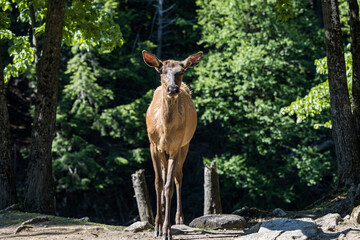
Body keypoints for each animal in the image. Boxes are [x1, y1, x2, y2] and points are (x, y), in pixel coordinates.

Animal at [141, 49, 202, 239]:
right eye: (162, 71)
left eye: (181, 71)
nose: (173, 89)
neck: (165, 132)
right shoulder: (153, 145)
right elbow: (158, 183)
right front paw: (157, 227)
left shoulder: (176, 146)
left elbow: (168, 186)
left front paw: (167, 229)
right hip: (163, 150)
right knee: (163, 173)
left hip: (185, 145)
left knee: (178, 177)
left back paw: (179, 218)